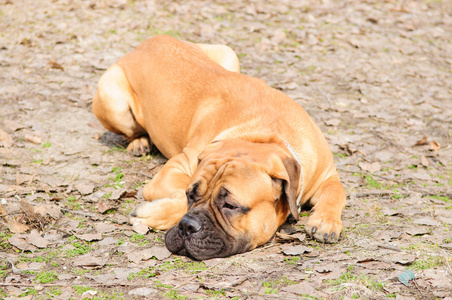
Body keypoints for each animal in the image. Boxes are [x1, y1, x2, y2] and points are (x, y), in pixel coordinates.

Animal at [92, 35, 346, 260]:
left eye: (230, 205)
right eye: (191, 195)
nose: (187, 226)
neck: (266, 134)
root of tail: (144, 44)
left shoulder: (327, 176)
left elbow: (337, 191)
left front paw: (326, 222)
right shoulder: (172, 170)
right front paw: (153, 213)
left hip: (228, 53)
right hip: (111, 96)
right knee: (132, 130)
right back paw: (139, 142)